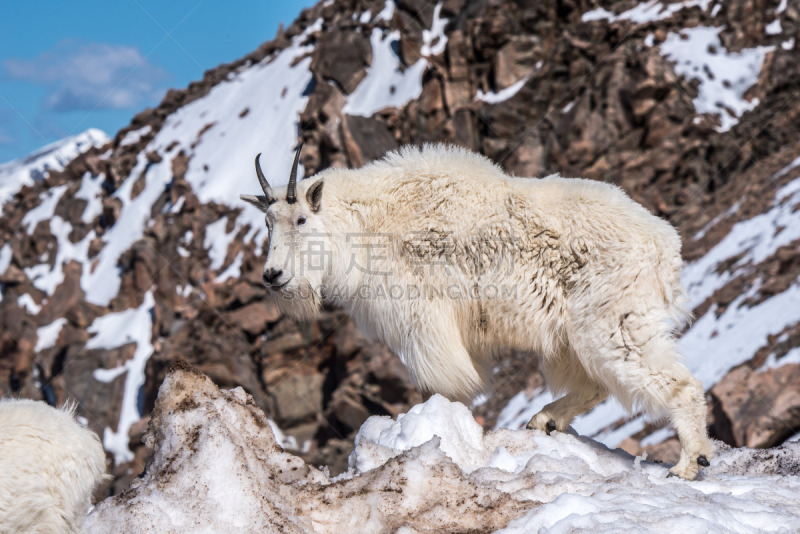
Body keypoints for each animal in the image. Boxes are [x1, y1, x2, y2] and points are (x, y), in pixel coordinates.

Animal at [241, 143, 716, 482]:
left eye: (301, 219)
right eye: (266, 223)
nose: (273, 275)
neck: (369, 226)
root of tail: (665, 246)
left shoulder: (424, 317)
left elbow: (442, 382)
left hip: (613, 318)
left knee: (674, 383)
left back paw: (689, 463)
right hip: (575, 334)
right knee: (596, 383)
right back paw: (544, 421)